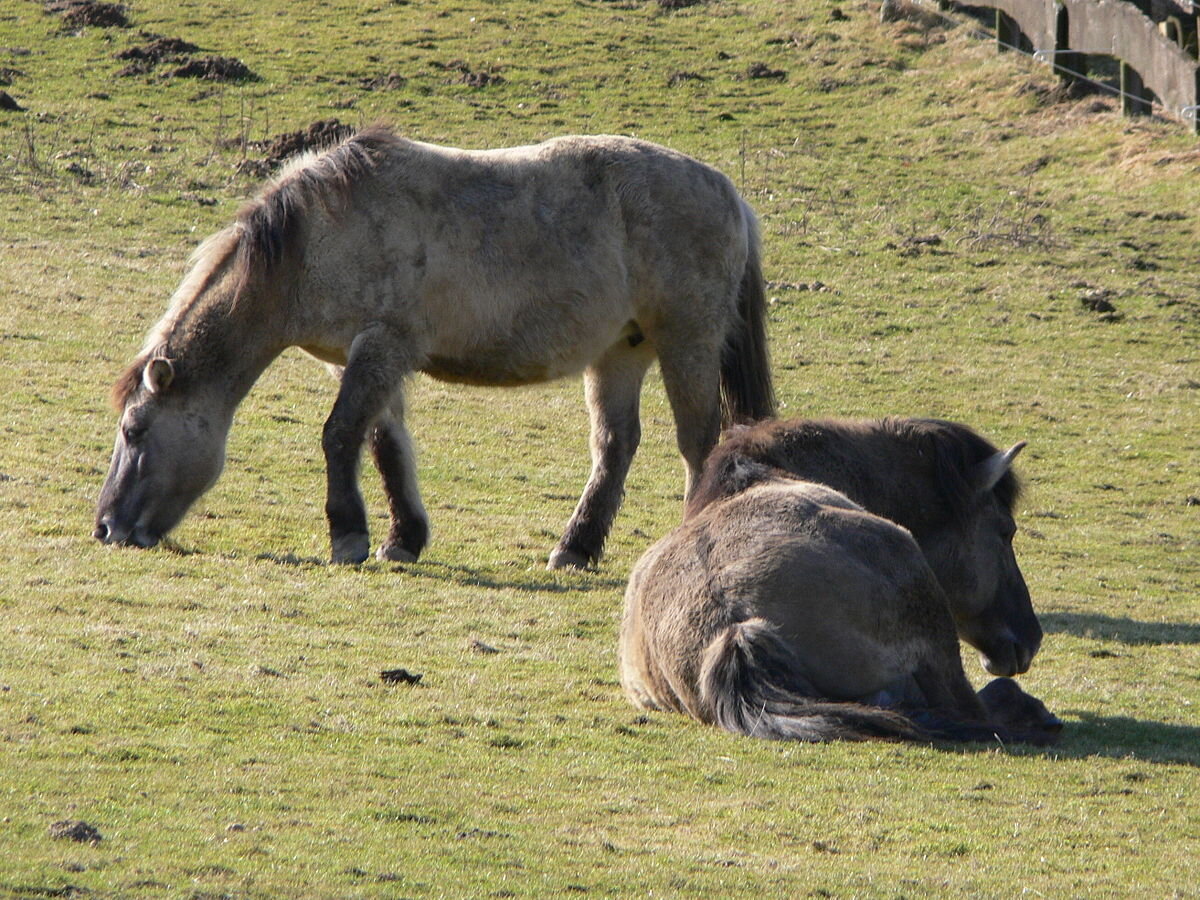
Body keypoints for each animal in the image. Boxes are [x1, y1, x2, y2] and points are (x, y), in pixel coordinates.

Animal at [91, 124, 768, 566]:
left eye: (135, 430)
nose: (106, 527)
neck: (315, 242)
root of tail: (730, 193)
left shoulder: (381, 347)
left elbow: (339, 435)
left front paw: (348, 538)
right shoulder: (369, 360)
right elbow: (385, 446)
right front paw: (402, 540)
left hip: (687, 344)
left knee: (700, 444)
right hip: (620, 352)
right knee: (615, 446)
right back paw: (573, 550)